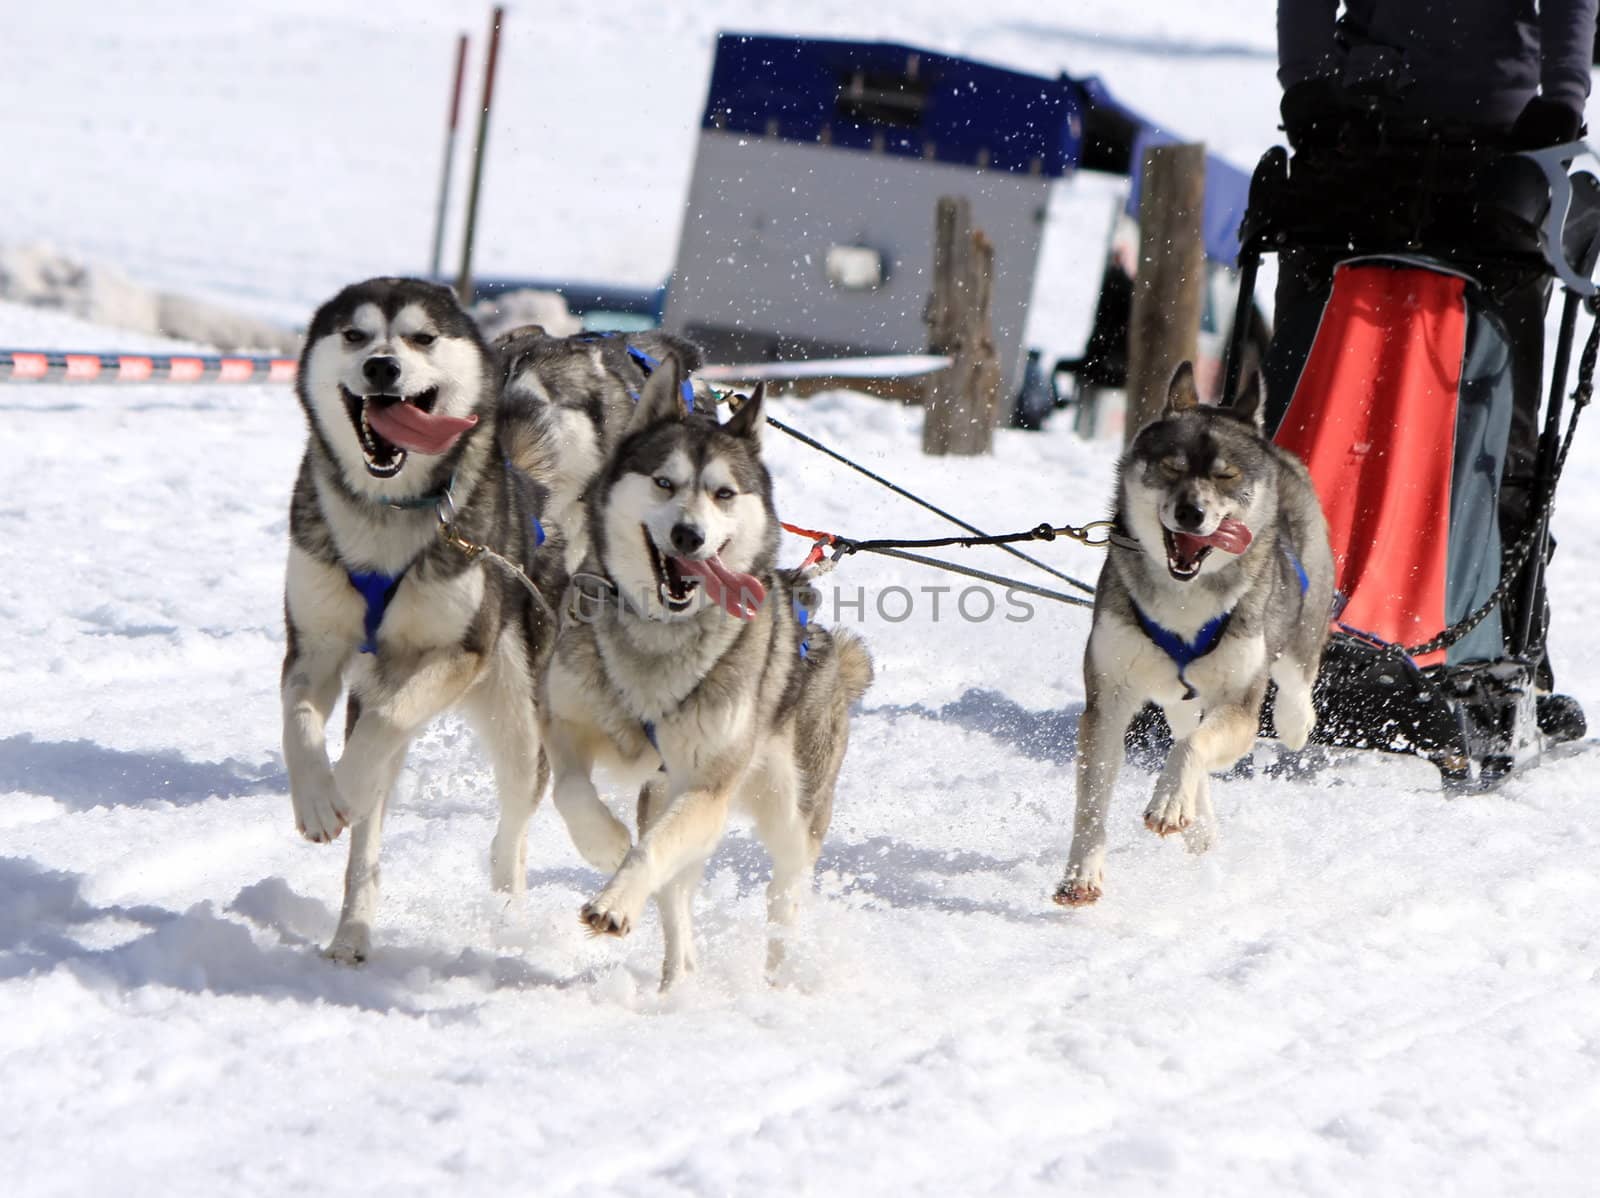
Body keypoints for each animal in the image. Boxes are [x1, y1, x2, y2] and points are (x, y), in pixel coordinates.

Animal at [283, 275, 569, 959]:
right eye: (354, 334)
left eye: (422, 337)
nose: (381, 367)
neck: (388, 512)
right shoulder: (314, 647)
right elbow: (299, 724)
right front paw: (318, 799)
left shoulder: (459, 653)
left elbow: (382, 725)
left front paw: (343, 788)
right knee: (369, 844)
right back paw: (352, 932)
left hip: (518, 719)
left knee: (511, 827)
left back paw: (507, 912)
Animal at [547, 358, 876, 991]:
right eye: (663, 483)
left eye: (724, 493)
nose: (688, 536)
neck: (659, 635)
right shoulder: (568, 725)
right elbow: (571, 792)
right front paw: (606, 845)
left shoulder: (706, 784)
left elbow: (649, 851)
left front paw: (613, 900)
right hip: (666, 795)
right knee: (676, 899)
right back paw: (677, 982)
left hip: (790, 814)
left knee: (783, 896)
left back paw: (775, 981)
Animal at [1056, 364, 1331, 908]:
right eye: (1171, 467)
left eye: (1226, 475)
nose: (1191, 513)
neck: (1185, 596)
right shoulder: (1110, 698)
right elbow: (1093, 797)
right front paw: (1083, 873)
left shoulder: (1241, 704)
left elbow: (1195, 748)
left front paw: (1167, 803)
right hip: (1174, 694)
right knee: (1187, 728)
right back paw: (1198, 822)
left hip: (1298, 630)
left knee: (1292, 684)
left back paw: (1293, 723)